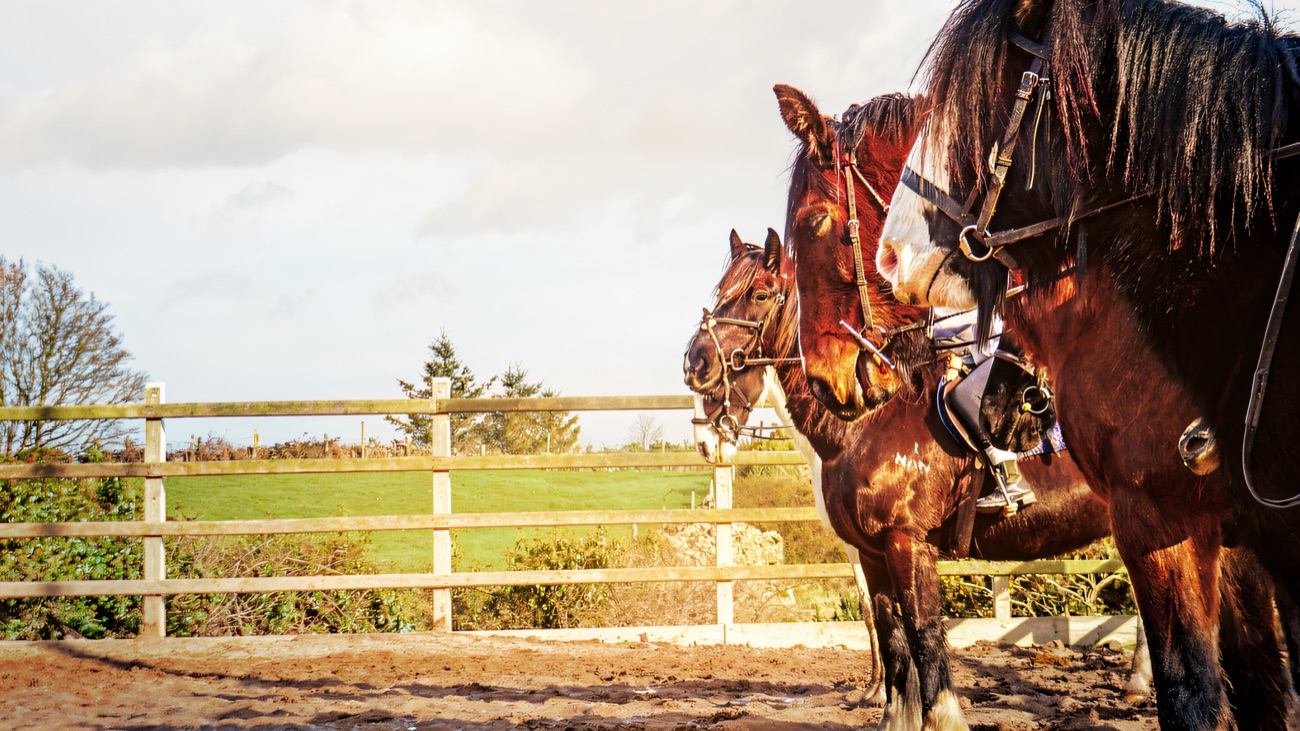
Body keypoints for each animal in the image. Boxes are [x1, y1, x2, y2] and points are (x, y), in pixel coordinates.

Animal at [684, 226, 1122, 729]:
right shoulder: (873, 552)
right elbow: (890, 634)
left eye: (758, 294)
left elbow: (923, 637)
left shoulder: (906, 544)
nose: (694, 363)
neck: (866, 419)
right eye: (719, 293)